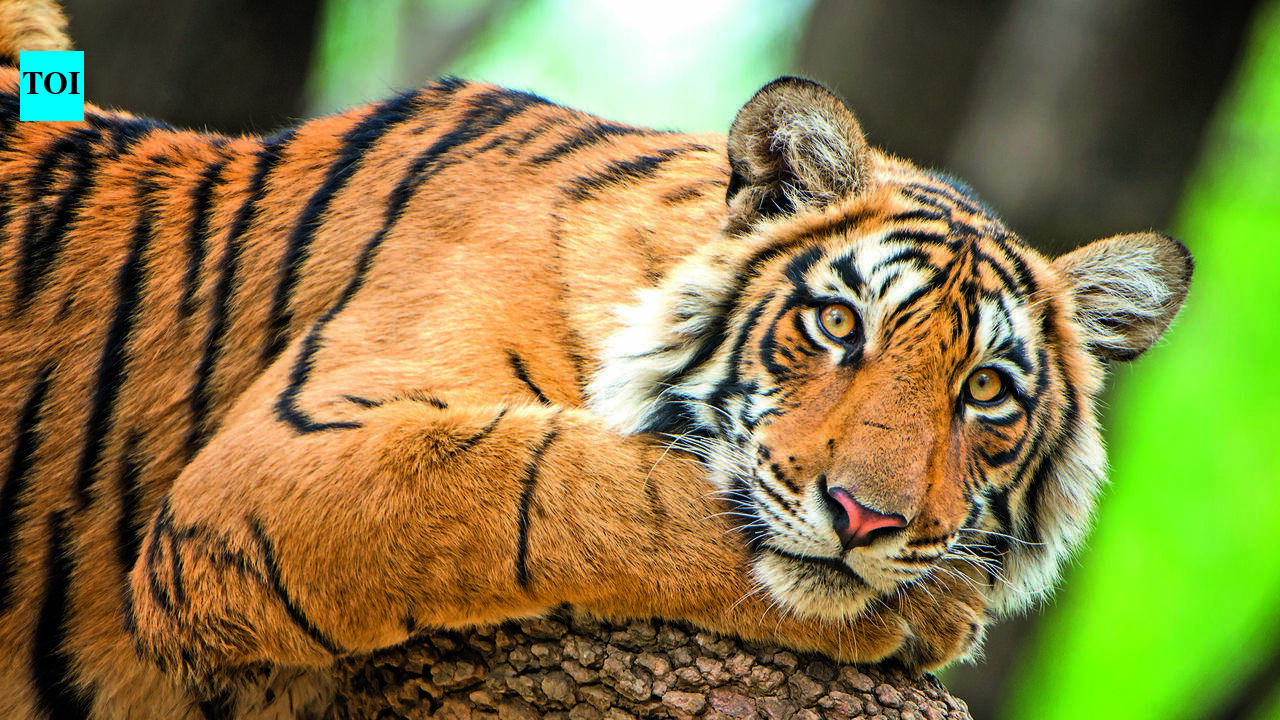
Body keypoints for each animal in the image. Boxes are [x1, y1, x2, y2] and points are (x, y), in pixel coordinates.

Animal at [0, 2, 1193, 719]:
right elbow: (566, 487)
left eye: (984, 391)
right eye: (837, 326)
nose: (868, 520)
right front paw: (924, 610)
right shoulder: (282, 466)